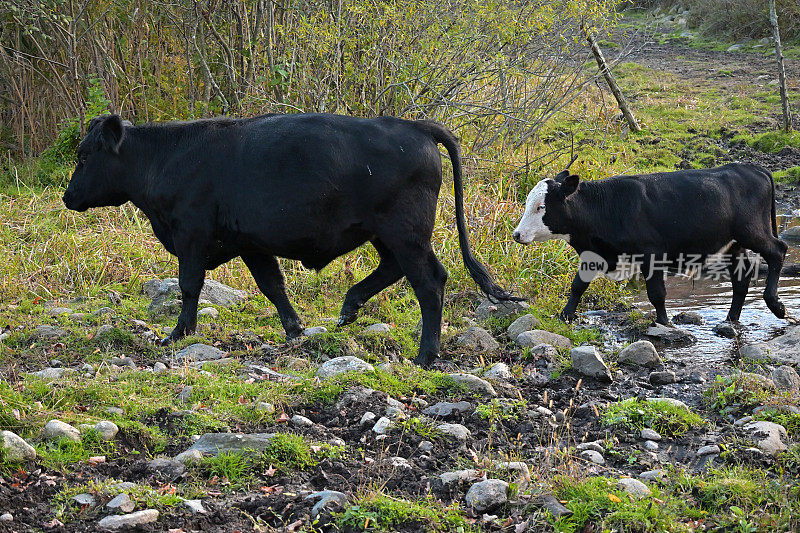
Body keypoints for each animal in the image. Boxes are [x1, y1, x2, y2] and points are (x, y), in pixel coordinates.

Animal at [61, 112, 512, 366]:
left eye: (84, 156)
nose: (67, 196)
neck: (168, 158)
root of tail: (415, 125)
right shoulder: (250, 244)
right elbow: (272, 285)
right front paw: (295, 329)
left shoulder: (191, 235)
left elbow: (189, 286)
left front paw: (177, 333)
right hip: (386, 235)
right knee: (392, 270)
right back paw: (348, 308)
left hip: (406, 232)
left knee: (429, 281)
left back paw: (425, 355)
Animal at [512, 164, 788, 326]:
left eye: (541, 206)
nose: (517, 234)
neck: (607, 207)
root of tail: (751, 167)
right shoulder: (595, 254)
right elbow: (578, 285)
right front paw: (565, 315)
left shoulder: (651, 254)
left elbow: (656, 293)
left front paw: (665, 323)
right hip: (733, 244)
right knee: (741, 279)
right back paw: (731, 320)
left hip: (752, 231)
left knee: (778, 251)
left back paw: (776, 305)